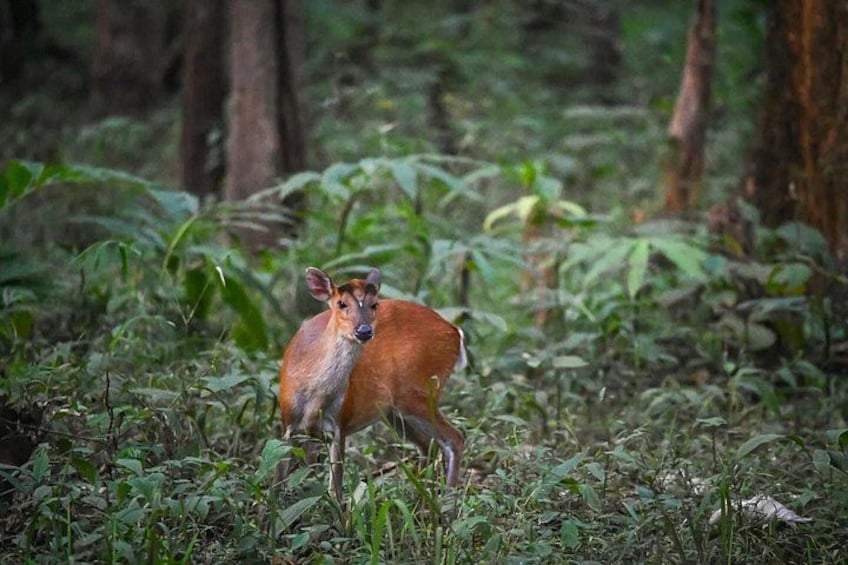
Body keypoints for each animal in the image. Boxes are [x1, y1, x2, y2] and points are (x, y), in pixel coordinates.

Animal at [278, 267, 467, 503]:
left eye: (374, 304)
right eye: (341, 304)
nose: (364, 331)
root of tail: (454, 331)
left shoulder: (340, 423)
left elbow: (335, 489)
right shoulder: (288, 425)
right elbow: (277, 481)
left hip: (419, 392)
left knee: (454, 438)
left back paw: (447, 500)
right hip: (394, 411)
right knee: (427, 444)